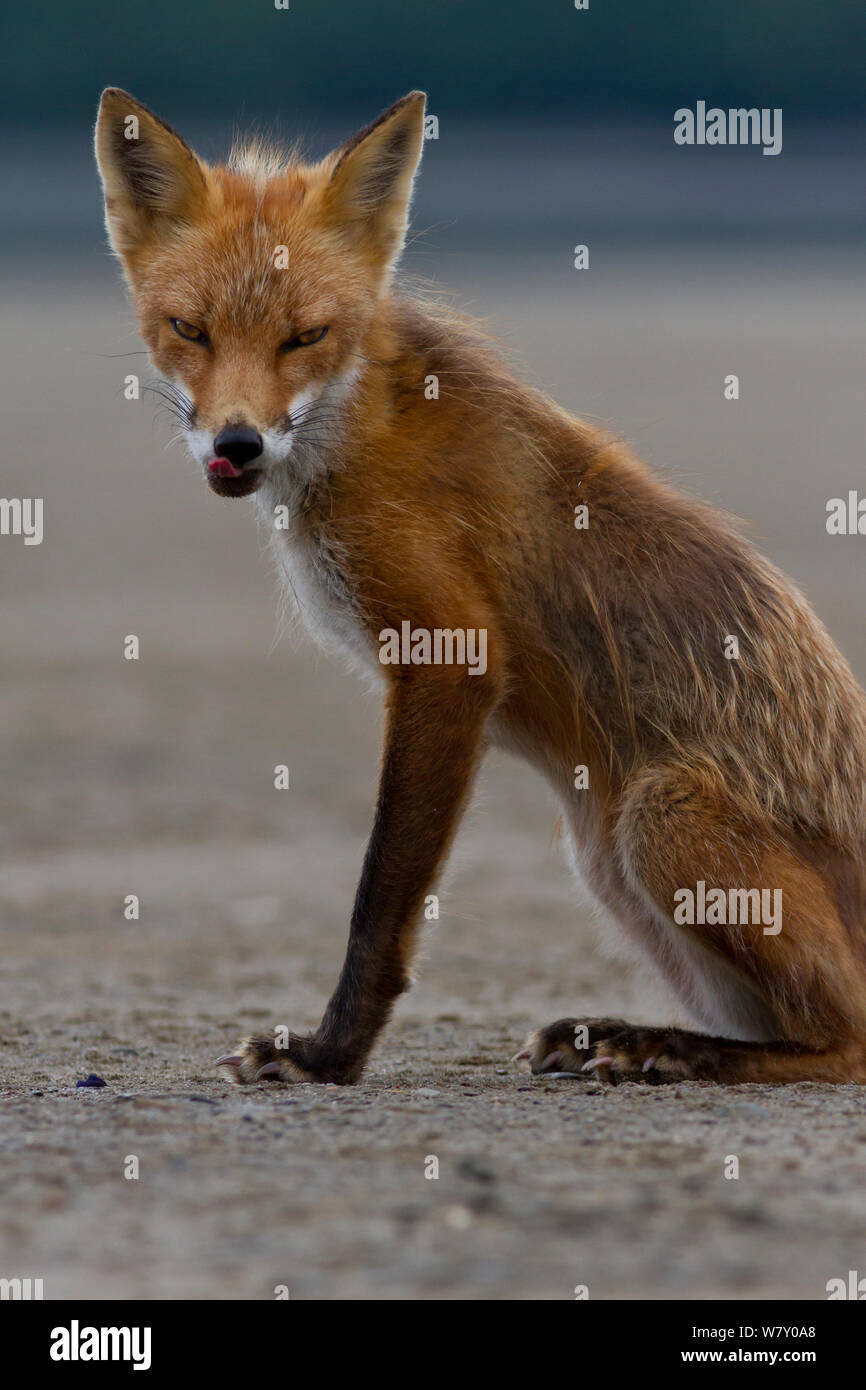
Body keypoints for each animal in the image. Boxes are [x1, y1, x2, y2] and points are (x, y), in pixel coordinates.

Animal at [94, 87, 866, 1087]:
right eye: (189, 329)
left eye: (307, 336)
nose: (237, 443)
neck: (358, 429)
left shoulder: (448, 660)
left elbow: (379, 901)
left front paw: (330, 1054)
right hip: (604, 858)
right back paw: (626, 1035)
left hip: (657, 812)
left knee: (845, 1042)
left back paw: (675, 1051)